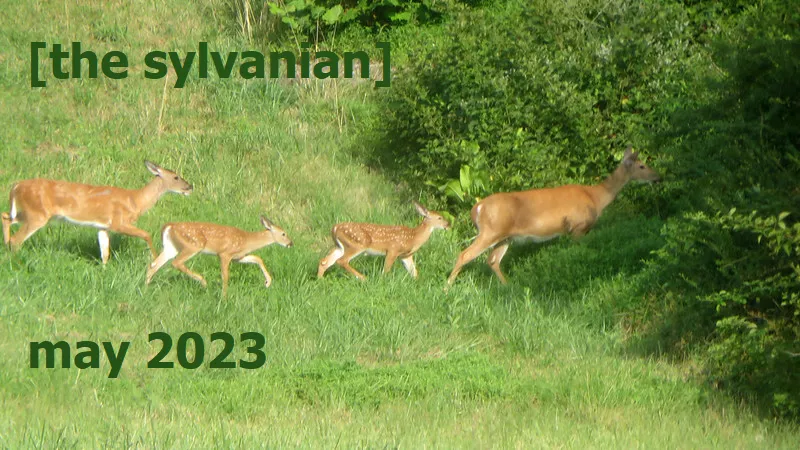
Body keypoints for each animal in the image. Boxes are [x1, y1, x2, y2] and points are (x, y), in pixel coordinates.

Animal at [2, 160, 192, 264]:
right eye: (176, 177)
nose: (190, 186)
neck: (135, 200)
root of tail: (16, 186)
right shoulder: (118, 222)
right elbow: (146, 234)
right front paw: (154, 259)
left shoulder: (103, 226)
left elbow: (105, 251)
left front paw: (104, 269)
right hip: (37, 214)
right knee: (17, 239)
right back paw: (15, 257)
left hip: (30, 212)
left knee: (5, 217)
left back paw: (5, 246)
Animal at [145, 216, 293, 296]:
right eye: (284, 234)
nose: (291, 243)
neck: (246, 240)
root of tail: (170, 226)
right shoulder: (224, 253)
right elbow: (225, 275)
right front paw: (224, 297)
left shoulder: (238, 257)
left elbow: (257, 258)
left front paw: (268, 282)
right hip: (193, 245)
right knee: (176, 263)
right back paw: (203, 282)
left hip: (172, 247)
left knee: (154, 264)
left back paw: (146, 287)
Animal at [317, 201, 450, 280]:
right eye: (440, 217)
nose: (448, 224)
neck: (413, 238)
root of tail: (334, 228)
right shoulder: (393, 249)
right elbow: (385, 270)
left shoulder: (406, 256)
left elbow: (414, 273)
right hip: (358, 244)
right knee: (342, 261)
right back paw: (363, 278)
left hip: (340, 246)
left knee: (325, 261)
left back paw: (320, 279)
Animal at [446, 146, 661, 286]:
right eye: (642, 166)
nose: (658, 177)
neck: (596, 197)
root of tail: (477, 207)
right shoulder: (578, 227)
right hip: (490, 232)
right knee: (465, 254)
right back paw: (447, 288)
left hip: (504, 236)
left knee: (492, 260)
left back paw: (508, 287)